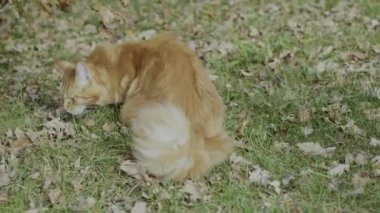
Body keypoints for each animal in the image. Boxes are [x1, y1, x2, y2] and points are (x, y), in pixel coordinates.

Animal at [54, 33, 233, 180]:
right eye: (63, 98)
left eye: (74, 99)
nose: (66, 108)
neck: (111, 65)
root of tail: (197, 137)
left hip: (130, 110)